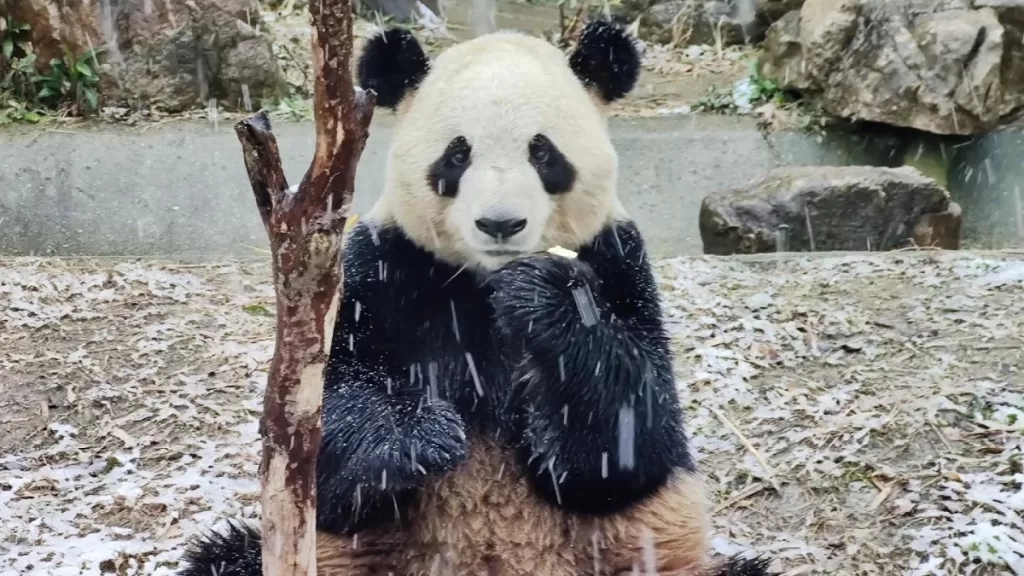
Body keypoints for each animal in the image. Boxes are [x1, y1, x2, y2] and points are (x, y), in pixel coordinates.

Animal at [179, 19, 775, 576]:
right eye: (457, 155)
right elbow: (326, 434)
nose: (500, 224)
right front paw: (419, 434)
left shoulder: (619, 261)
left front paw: (545, 299)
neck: (483, 280)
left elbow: (633, 440)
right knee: (226, 556)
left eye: (543, 152)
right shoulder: (378, 270)